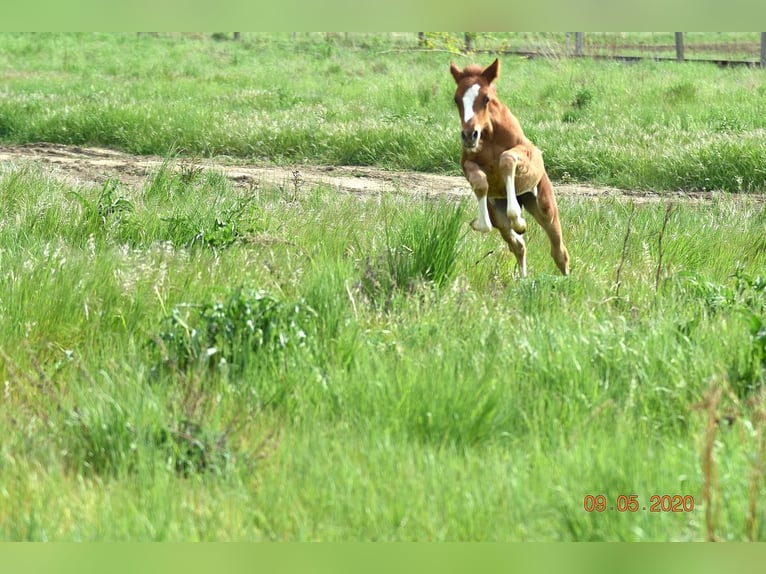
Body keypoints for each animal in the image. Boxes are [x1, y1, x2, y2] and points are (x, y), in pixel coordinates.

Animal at [450, 58, 568, 276]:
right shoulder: (467, 163)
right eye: (456, 99)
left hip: (544, 206)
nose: (469, 135)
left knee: (559, 251)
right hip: (498, 214)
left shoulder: (528, 152)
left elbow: (507, 159)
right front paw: (480, 223)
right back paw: (523, 278)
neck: (489, 134)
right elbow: (480, 182)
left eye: (486, 98)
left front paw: (519, 219)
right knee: (518, 245)